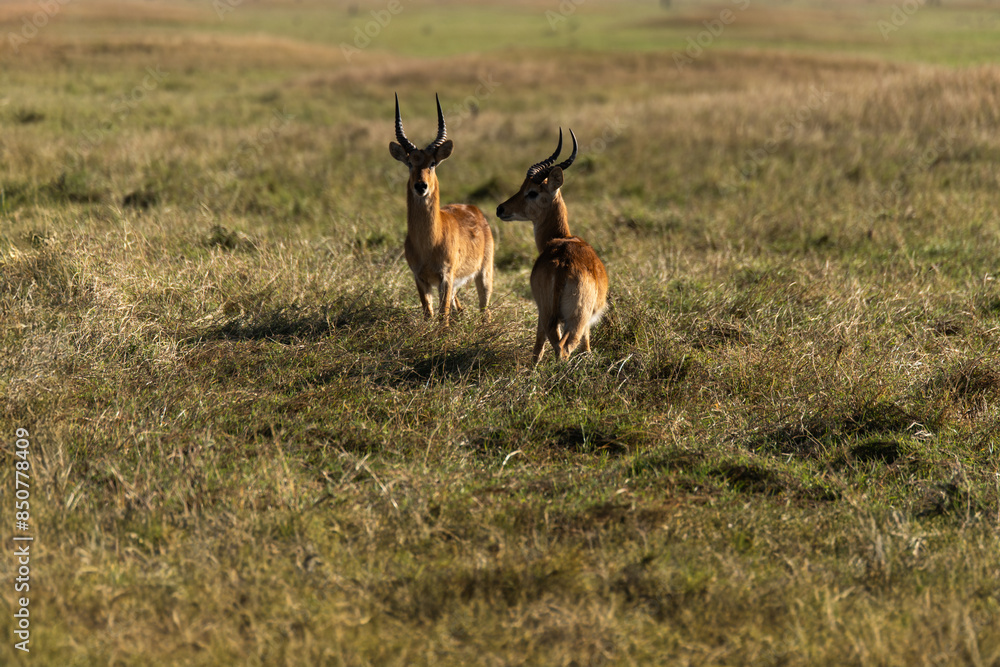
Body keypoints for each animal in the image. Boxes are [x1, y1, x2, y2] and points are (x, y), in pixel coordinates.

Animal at [389, 93, 494, 325]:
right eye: (410, 163)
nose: (421, 186)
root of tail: (474, 209)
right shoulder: (420, 278)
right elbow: (428, 313)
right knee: (461, 308)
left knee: (485, 310)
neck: (429, 242)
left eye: (433, 163)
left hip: (484, 274)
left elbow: (442, 317)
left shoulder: (446, 276)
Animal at [496, 129, 608, 364]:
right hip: (575, 318)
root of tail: (563, 265)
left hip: (548, 313)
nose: (500, 209)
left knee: (550, 342)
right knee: (564, 347)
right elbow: (586, 344)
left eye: (531, 191)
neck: (562, 238)